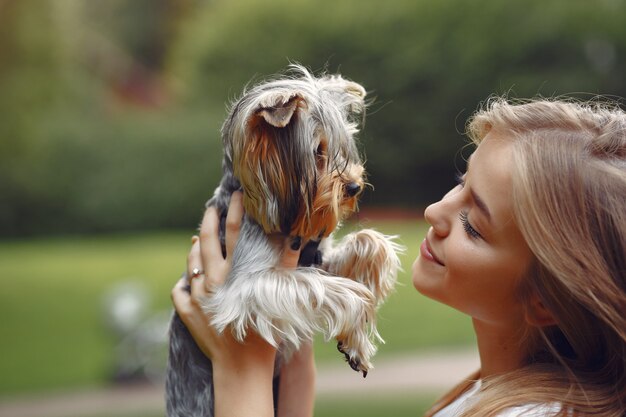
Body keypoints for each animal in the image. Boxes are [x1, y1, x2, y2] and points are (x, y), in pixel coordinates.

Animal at [166, 66, 400, 414]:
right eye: (317, 151)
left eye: (344, 146)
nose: (354, 187)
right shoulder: (244, 288)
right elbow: (343, 292)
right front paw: (359, 323)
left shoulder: (317, 257)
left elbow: (370, 242)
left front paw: (354, 339)